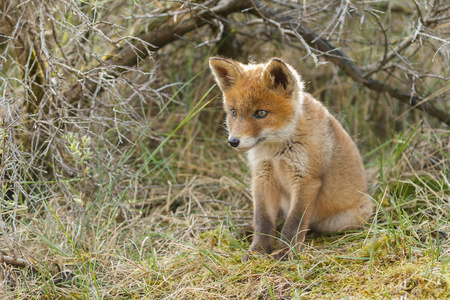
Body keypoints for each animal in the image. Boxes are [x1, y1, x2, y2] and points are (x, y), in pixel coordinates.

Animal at [209, 56, 374, 260]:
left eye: (261, 113)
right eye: (233, 112)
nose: (233, 141)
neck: (276, 152)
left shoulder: (306, 179)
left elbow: (294, 222)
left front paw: (285, 251)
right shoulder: (262, 175)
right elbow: (263, 220)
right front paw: (258, 250)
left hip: (341, 221)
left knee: (307, 224)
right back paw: (248, 230)